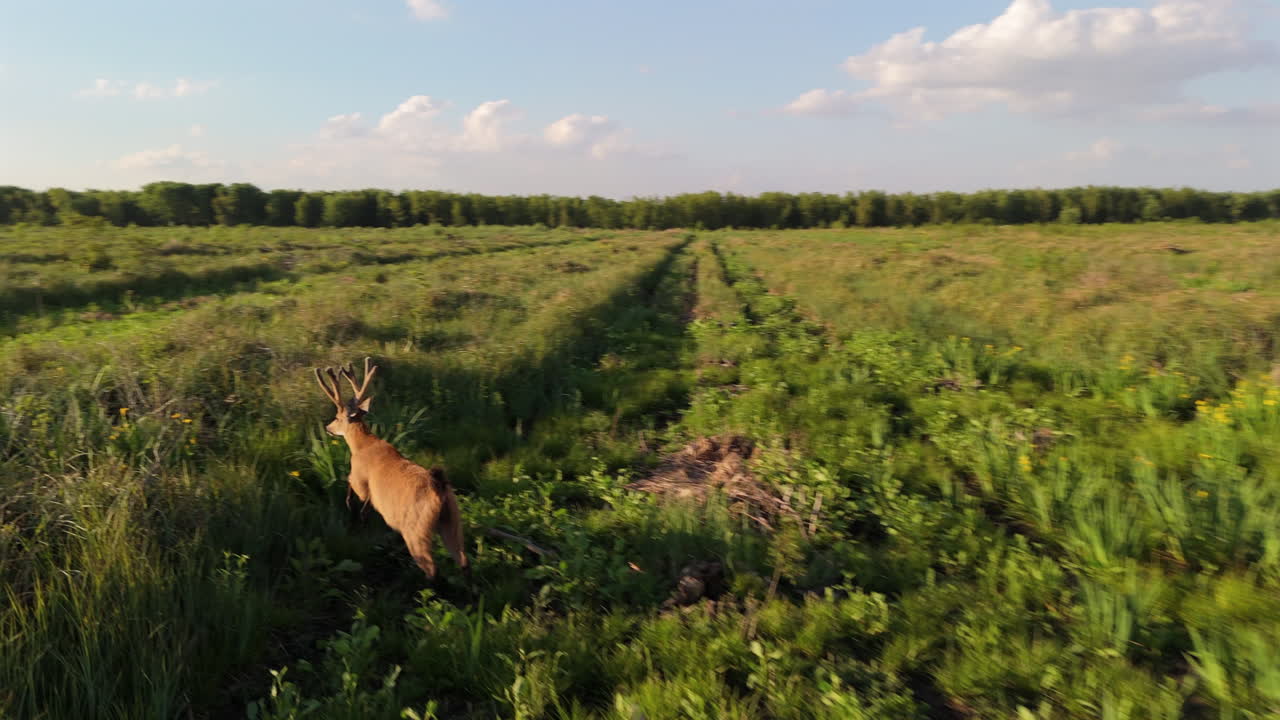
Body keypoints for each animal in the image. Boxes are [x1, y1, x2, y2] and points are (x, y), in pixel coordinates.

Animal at [313, 357, 469, 580]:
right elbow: (365, 509)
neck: (363, 445)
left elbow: (351, 485)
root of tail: (439, 488)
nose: (328, 428)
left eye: (337, 416)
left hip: (415, 529)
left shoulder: (361, 480)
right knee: (464, 561)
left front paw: (352, 510)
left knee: (432, 568)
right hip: (452, 520)